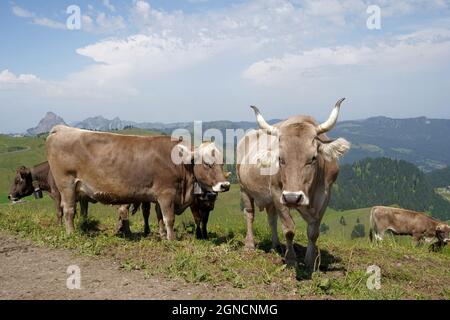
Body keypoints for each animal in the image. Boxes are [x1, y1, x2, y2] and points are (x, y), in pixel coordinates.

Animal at [46, 125, 230, 238]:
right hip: (67, 185)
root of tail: (61, 128)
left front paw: (162, 235)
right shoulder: (166, 194)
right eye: (207, 163)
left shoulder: (158, 196)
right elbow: (169, 218)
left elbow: (159, 217)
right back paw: (71, 233)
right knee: (69, 210)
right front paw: (171, 239)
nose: (225, 185)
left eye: (222, 163)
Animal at [237, 99, 350, 268]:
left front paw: (310, 261)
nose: (292, 198)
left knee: (271, 219)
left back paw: (276, 245)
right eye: (280, 159)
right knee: (250, 214)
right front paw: (291, 259)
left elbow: (313, 232)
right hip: (244, 188)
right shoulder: (278, 192)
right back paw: (249, 244)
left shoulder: (325, 194)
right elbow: (289, 228)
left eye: (313, 158)